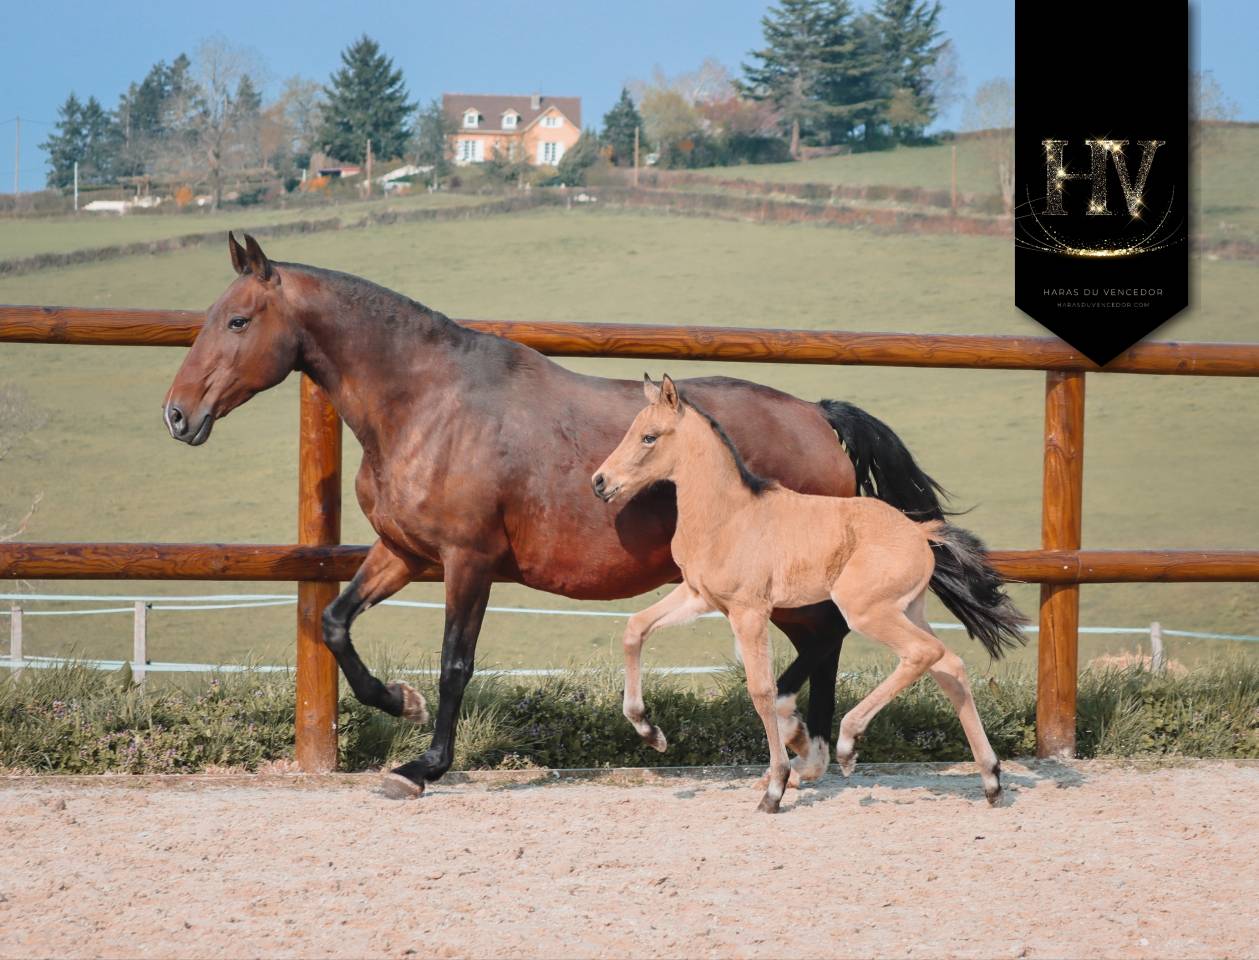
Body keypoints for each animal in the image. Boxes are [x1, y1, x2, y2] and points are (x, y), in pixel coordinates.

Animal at [164, 233, 955, 798]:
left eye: (237, 320)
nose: (177, 415)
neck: (427, 405)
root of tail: (819, 416)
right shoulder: (404, 553)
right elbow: (333, 625)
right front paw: (400, 703)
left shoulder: (469, 560)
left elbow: (455, 663)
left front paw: (422, 766)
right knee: (825, 642)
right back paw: (808, 749)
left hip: (779, 585)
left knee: (826, 641)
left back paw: (800, 740)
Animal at [592, 375, 1026, 813]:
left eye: (649, 436)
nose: (600, 482)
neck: (728, 516)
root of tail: (920, 532)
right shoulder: (700, 596)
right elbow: (635, 628)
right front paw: (650, 732)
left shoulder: (749, 611)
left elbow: (762, 691)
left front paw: (775, 788)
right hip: (909, 611)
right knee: (950, 667)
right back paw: (991, 780)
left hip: (866, 611)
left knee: (923, 654)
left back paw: (849, 744)